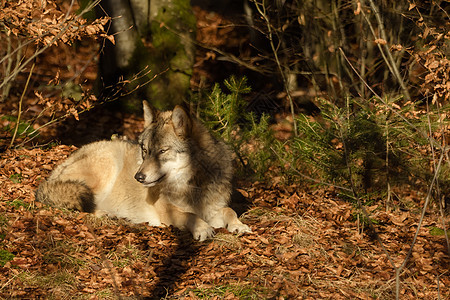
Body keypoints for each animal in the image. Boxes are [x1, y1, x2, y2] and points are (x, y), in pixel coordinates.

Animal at [35, 101, 251, 241]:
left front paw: (239, 226)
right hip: (108, 165)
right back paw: (108, 214)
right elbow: (190, 215)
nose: (138, 177)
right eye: (145, 151)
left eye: (162, 151)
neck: (192, 186)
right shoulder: (168, 211)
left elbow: (230, 211)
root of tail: (53, 173)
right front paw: (203, 228)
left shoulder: (213, 208)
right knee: (80, 206)